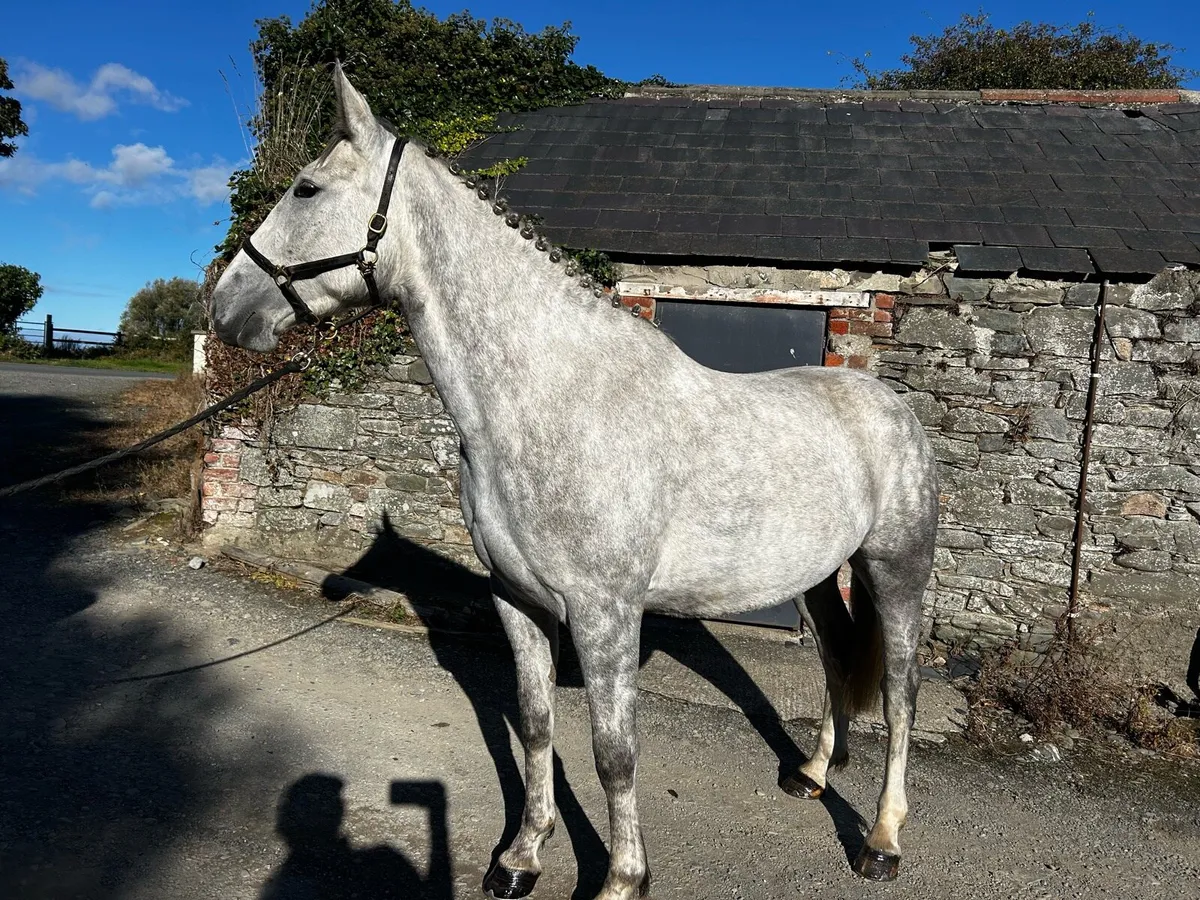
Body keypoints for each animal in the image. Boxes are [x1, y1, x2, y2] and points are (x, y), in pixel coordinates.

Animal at [211, 65, 939, 900]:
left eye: (306, 188)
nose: (225, 307)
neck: (549, 399)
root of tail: (890, 406)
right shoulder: (518, 600)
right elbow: (535, 727)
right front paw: (521, 857)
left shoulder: (604, 613)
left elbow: (613, 752)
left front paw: (623, 878)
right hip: (819, 575)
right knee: (836, 660)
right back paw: (813, 775)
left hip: (896, 571)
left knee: (901, 692)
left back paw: (881, 841)